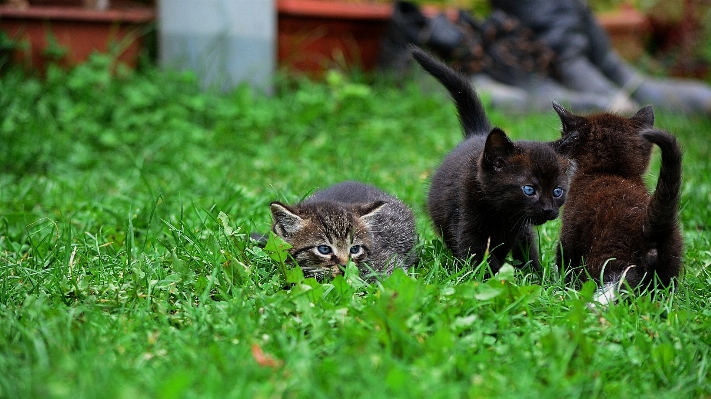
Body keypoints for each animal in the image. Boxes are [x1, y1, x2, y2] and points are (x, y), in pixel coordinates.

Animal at [556, 102, 684, 304]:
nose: (557, 145)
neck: (612, 172)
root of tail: (649, 226)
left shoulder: (570, 231)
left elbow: (564, 261)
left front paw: (560, 286)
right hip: (670, 266)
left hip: (611, 261)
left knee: (616, 288)